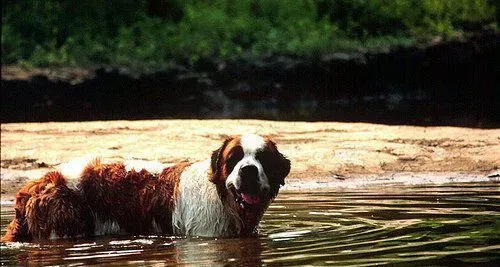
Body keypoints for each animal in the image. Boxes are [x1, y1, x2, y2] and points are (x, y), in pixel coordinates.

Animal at [1, 134, 292, 243]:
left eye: (262, 159)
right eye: (233, 159)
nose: (248, 170)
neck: (223, 197)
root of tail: (33, 186)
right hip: (64, 223)